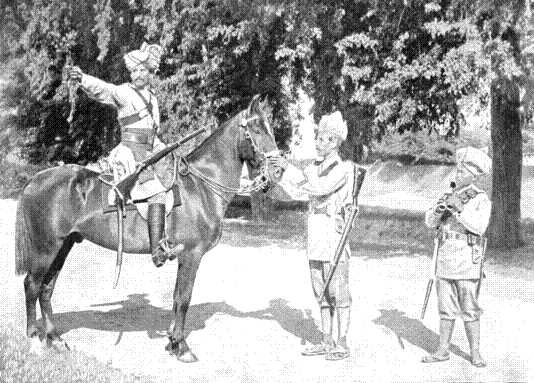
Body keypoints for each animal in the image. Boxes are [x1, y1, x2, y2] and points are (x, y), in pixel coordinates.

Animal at [14, 95, 280, 364]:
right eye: (257, 129)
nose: (278, 170)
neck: (200, 187)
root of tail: (35, 179)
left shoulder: (183, 257)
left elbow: (176, 297)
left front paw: (172, 342)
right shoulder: (191, 255)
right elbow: (184, 298)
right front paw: (182, 347)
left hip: (63, 246)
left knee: (46, 288)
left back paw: (55, 339)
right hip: (46, 248)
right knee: (32, 285)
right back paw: (33, 340)